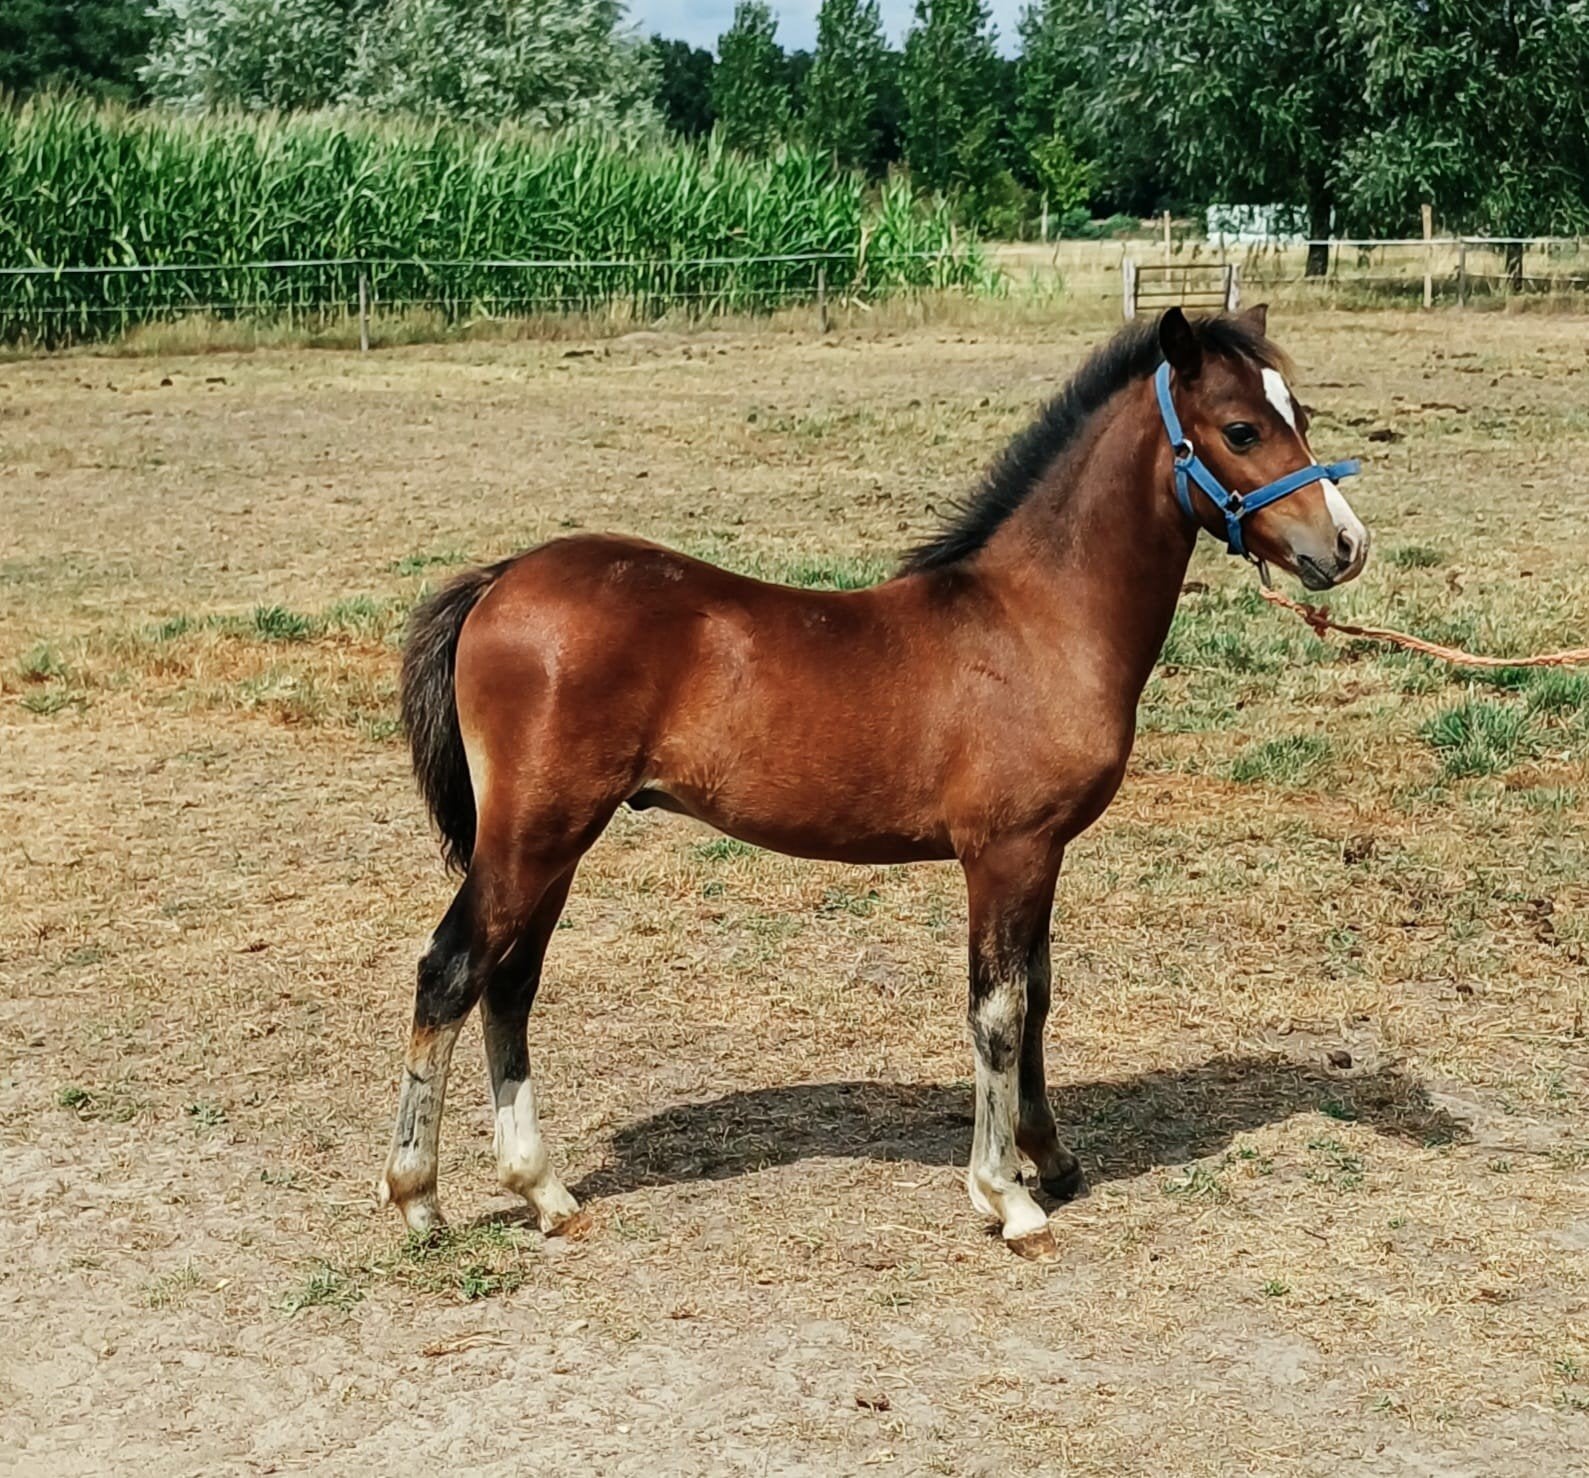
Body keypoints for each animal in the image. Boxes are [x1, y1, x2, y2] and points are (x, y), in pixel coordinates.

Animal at [378, 305, 1370, 1261]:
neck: (1035, 622)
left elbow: (1039, 995)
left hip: (555, 842)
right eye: (1240, 429)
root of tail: (502, 577)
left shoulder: (1044, 853)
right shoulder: (1003, 854)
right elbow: (999, 1011)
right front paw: (1007, 1197)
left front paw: (1050, 1157)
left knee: (510, 983)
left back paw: (543, 1193)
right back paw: (419, 1198)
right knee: (452, 970)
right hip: (535, 834)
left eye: (1300, 414)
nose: (1345, 545)